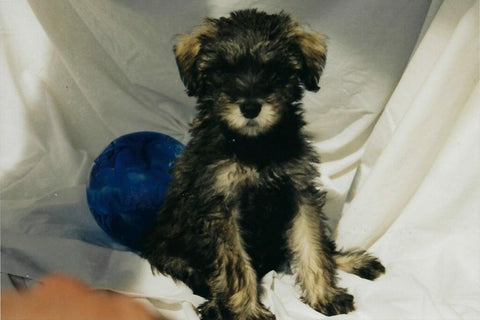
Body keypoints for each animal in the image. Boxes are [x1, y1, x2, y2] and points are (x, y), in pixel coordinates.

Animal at [143, 9, 386, 320]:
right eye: (223, 71)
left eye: (274, 70)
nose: (250, 107)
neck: (255, 146)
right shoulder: (222, 207)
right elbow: (236, 266)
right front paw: (247, 311)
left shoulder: (299, 193)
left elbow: (312, 245)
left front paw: (324, 294)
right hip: (169, 253)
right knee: (205, 278)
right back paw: (216, 305)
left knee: (324, 248)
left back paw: (354, 261)